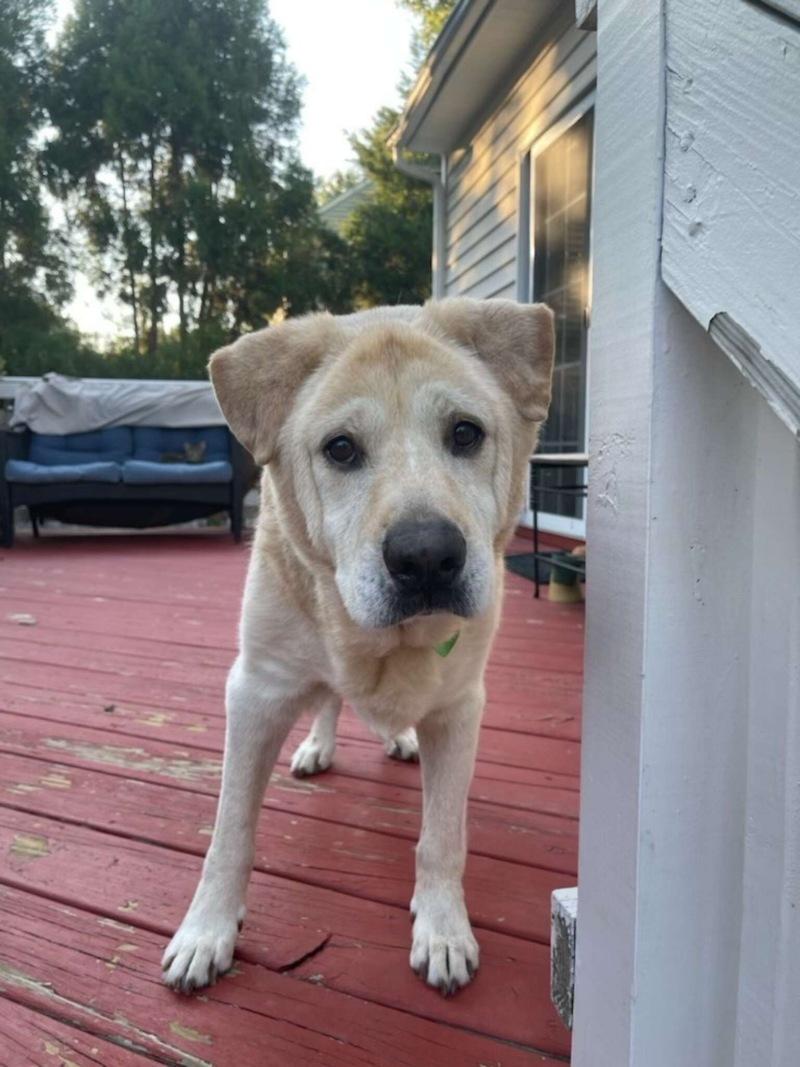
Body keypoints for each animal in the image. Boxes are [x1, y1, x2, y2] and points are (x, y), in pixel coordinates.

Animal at [161, 296, 554, 994]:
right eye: (340, 448)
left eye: (465, 434)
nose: (426, 556)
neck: (386, 642)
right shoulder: (255, 690)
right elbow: (230, 832)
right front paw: (206, 932)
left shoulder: (460, 709)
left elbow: (442, 837)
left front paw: (443, 929)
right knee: (327, 700)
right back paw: (318, 746)